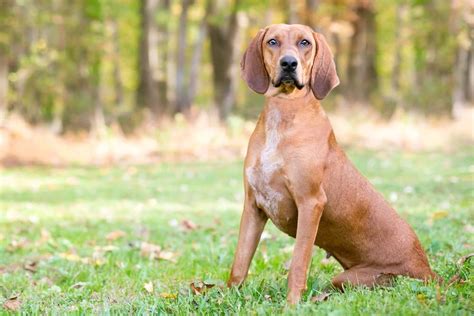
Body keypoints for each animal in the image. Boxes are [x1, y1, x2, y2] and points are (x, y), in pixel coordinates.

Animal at [228, 23, 436, 304]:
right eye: (272, 41)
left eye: (304, 42)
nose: (289, 63)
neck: (284, 112)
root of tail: (429, 270)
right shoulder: (253, 206)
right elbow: (239, 264)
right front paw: (226, 297)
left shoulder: (310, 203)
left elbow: (298, 263)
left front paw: (292, 304)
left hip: (356, 278)